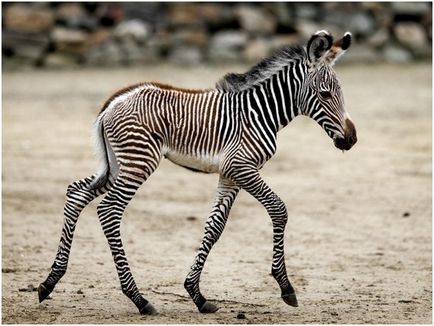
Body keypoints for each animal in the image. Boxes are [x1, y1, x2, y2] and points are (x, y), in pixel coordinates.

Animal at [38, 29, 356, 314]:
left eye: (341, 93)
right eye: (325, 94)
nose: (350, 140)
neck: (260, 112)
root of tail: (113, 103)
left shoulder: (230, 174)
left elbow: (215, 226)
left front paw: (197, 295)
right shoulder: (242, 167)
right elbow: (278, 210)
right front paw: (285, 287)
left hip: (117, 165)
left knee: (76, 193)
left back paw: (49, 282)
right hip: (138, 162)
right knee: (109, 210)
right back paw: (139, 299)